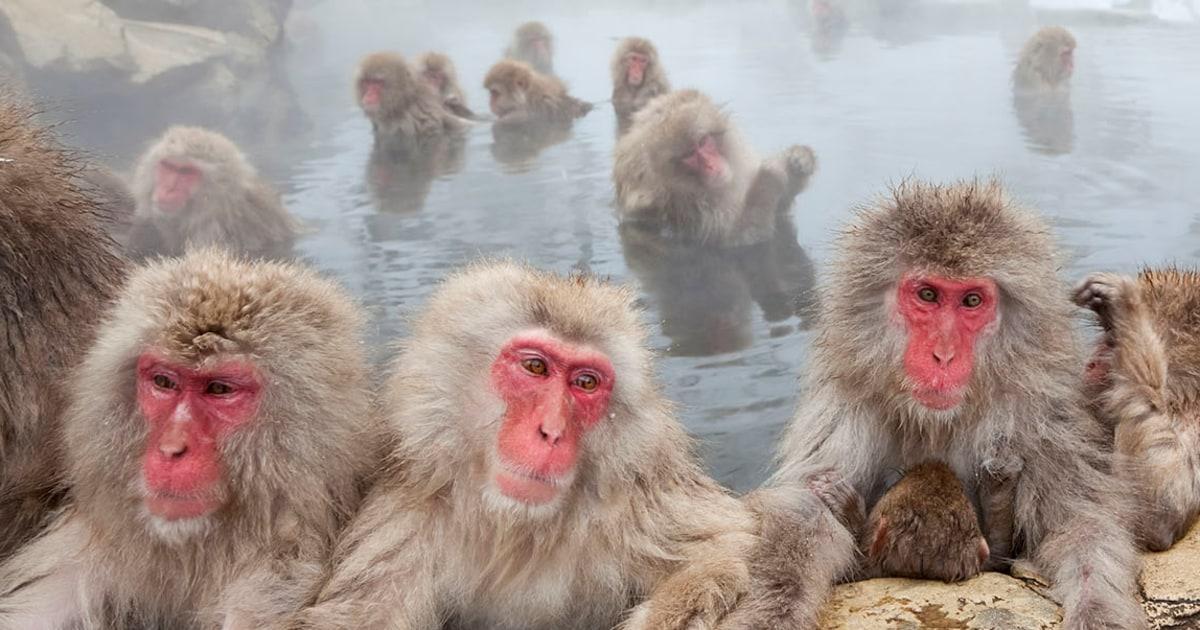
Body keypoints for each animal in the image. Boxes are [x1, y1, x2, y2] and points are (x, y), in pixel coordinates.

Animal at [288, 260, 757, 630]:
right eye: (535, 367)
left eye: (585, 383)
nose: (551, 431)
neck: (518, 530)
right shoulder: (404, 524)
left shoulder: (637, 502)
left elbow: (724, 549)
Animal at [613, 89, 817, 247]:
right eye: (689, 155)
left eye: (703, 142)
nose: (711, 165)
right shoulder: (685, 215)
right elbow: (745, 238)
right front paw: (770, 174)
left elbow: (780, 209)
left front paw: (799, 157)